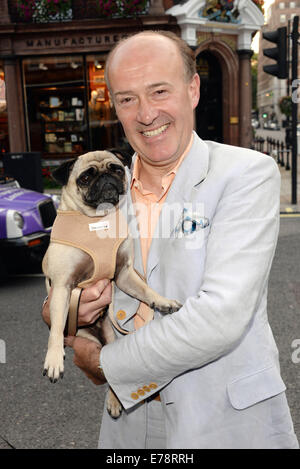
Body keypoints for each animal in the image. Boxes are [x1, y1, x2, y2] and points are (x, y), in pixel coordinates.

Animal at [42, 150, 182, 416]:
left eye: (116, 169)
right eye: (86, 178)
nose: (106, 178)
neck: (97, 221)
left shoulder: (124, 274)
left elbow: (146, 290)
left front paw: (162, 302)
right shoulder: (63, 286)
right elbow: (55, 330)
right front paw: (53, 358)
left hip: (110, 338)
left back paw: (115, 401)